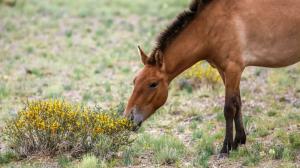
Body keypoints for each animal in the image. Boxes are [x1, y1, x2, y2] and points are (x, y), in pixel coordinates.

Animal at [122, 0, 300, 154]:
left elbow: (229, 108)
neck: (213, 25)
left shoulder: (234, 69)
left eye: (153, 84)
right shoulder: (224, 70)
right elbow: (238, 103)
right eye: (135, 80)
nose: (128, 119)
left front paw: (226, 148)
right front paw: (239, 141)